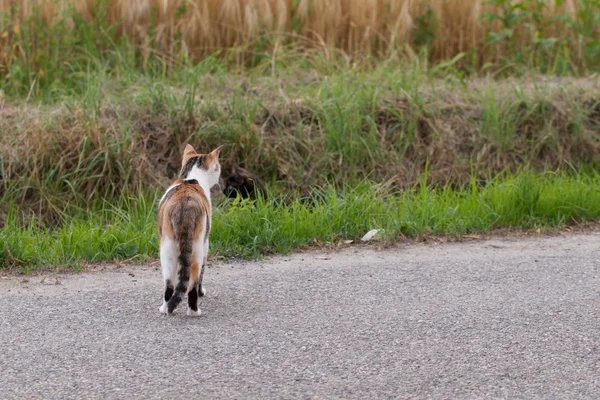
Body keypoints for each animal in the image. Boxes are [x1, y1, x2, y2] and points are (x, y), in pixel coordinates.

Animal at [157, 143, 223, 316]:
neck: (190, 179)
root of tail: (184, 205)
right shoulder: (206, 242)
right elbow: (201, 274)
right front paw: (202, 292)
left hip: (167, 248)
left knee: (170, 284)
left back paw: (166, 309)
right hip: (197, 247)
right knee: (193, 282)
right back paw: (194, 311)